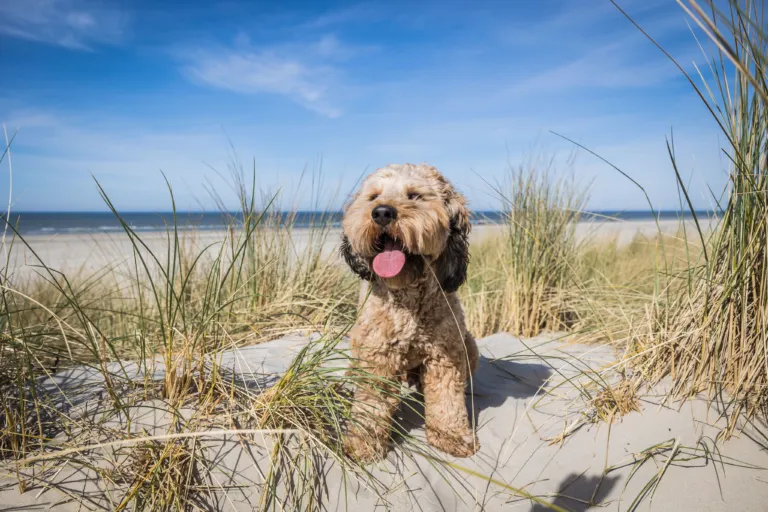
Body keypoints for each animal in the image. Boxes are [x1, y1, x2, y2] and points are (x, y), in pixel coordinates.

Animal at [340, 162, 476, 462]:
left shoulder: (446, 356)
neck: (408, 298)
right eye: (373, 197)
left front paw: (450, 436)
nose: (381, 212)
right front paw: (363, 443)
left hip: (470, 346)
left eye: (414, 195)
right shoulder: (376, 358)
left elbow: (447, 400)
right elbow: (370, 406)